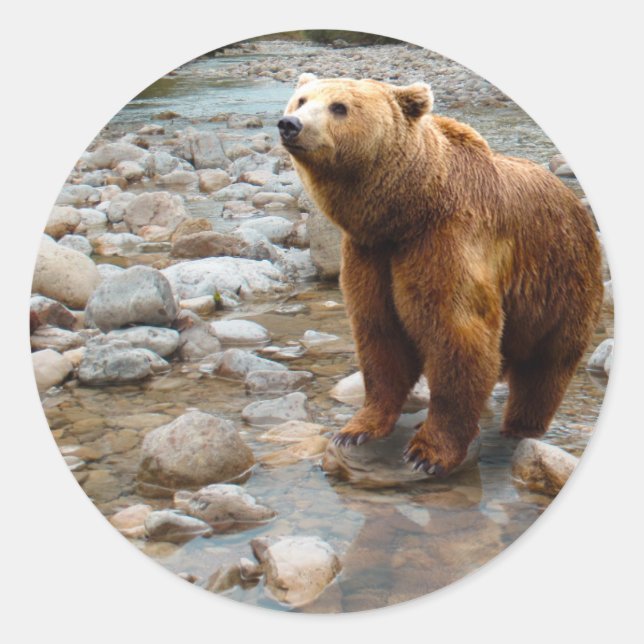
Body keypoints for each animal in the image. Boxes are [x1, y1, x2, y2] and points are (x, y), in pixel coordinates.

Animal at [278, 74, 603, 477]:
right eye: (301, 100)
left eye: (339, 107)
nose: (290, 124)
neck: (406, 211)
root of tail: (575, 203)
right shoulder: (371, 255)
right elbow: (379, 335)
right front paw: (355, 430)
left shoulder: (446, 240)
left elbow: (457, 336)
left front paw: (427, 452)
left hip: (560, 282)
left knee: (545, 367)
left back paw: (520, 426)